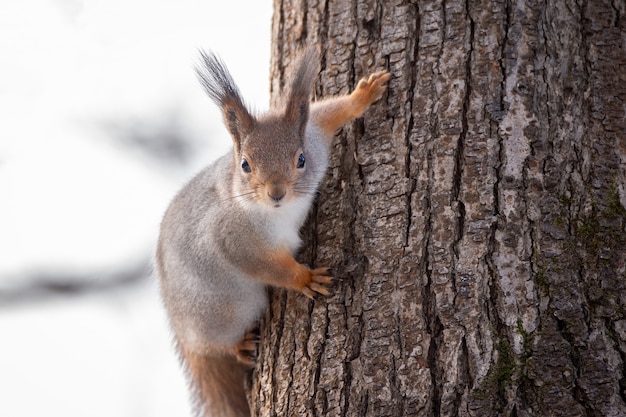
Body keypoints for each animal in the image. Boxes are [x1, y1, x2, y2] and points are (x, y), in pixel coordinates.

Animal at [155, 49, 388, 416]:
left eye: (301, 160)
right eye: (245, 165)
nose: (276, 192)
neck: (279, 211)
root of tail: (181, 328)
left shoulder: (315, 136)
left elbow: (327, 112)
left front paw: (362, 95)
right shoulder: (234, 239)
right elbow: (269, 267)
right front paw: (305, 278)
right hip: (227, 309)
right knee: (217, 346)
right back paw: (237, 346)